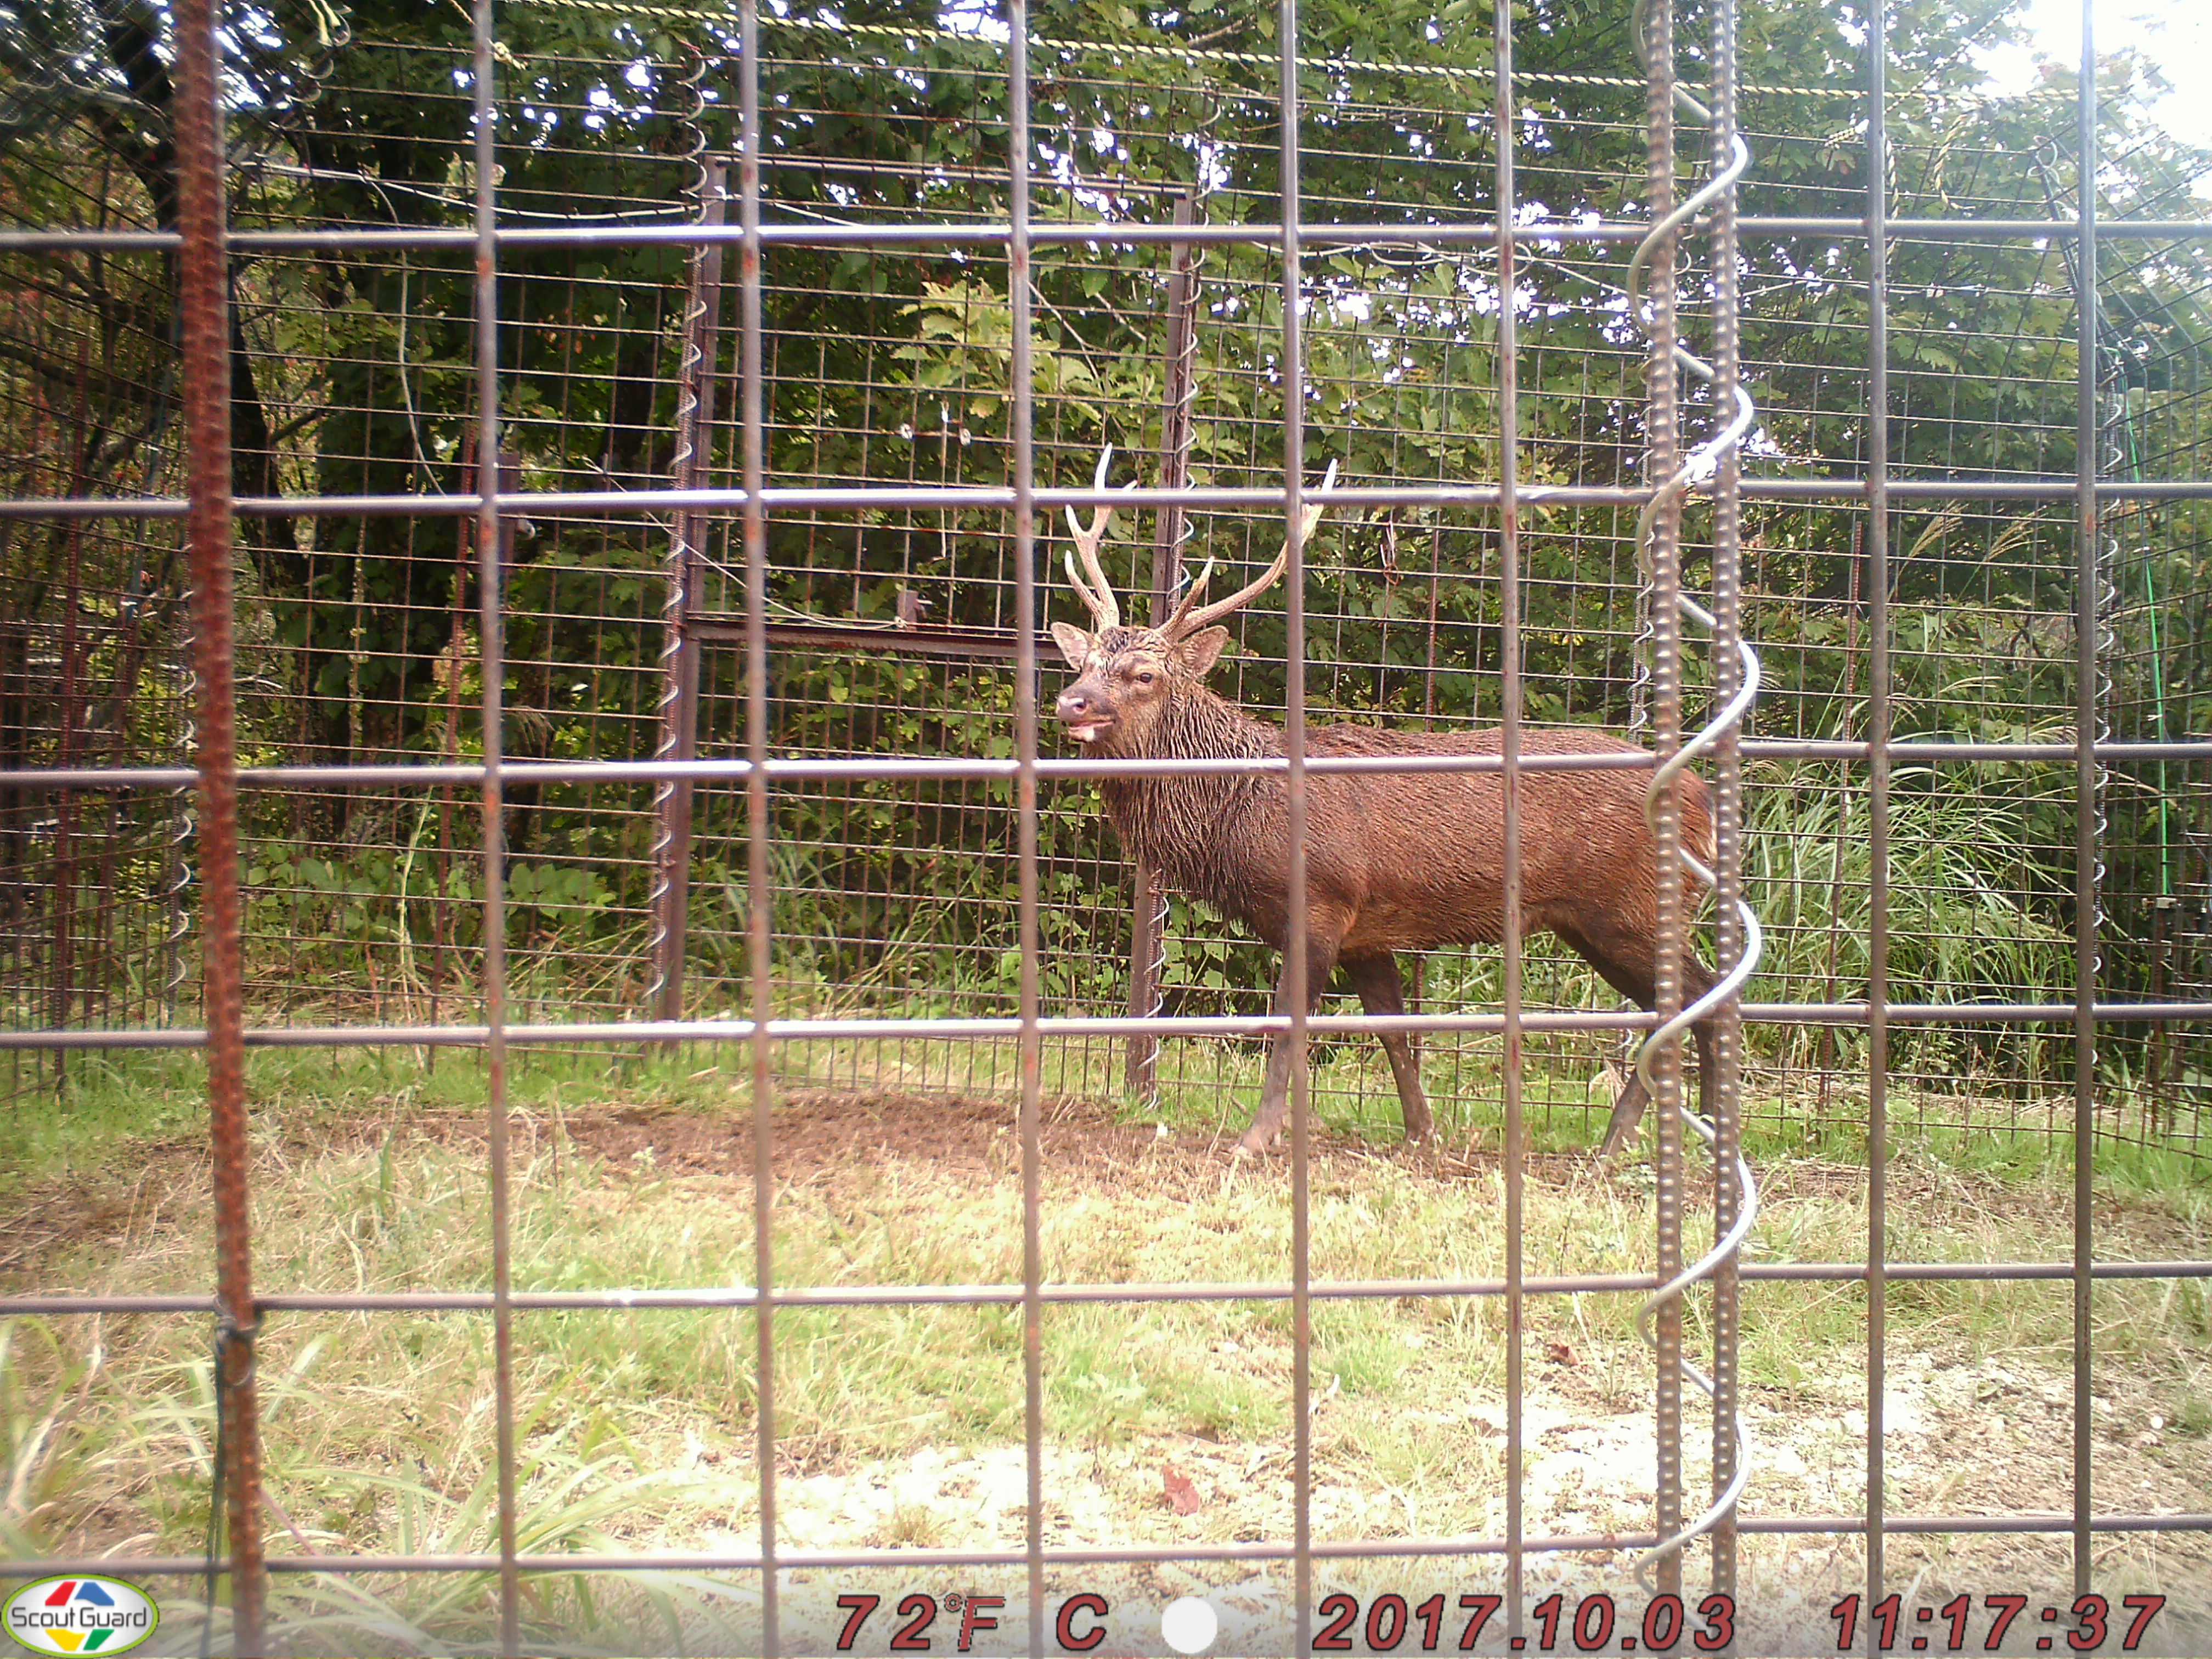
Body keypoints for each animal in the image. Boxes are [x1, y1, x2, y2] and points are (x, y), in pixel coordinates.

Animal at [1053, 449, 1725, 1159]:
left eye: (1145, 676)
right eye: (1084, 662)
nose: (1071, 703)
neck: (1237, 812)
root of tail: (1705, 800)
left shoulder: (1321, 902)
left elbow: (1289, 1027)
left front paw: (1256, 1137)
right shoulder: (1365, 933)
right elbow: (1395, 1030)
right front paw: (1422, 1132)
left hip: (1632, 909)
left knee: (1701, 997)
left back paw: (1661, 1137)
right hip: (1595, 920)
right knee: (1675, 1007)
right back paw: (1647, 1139)